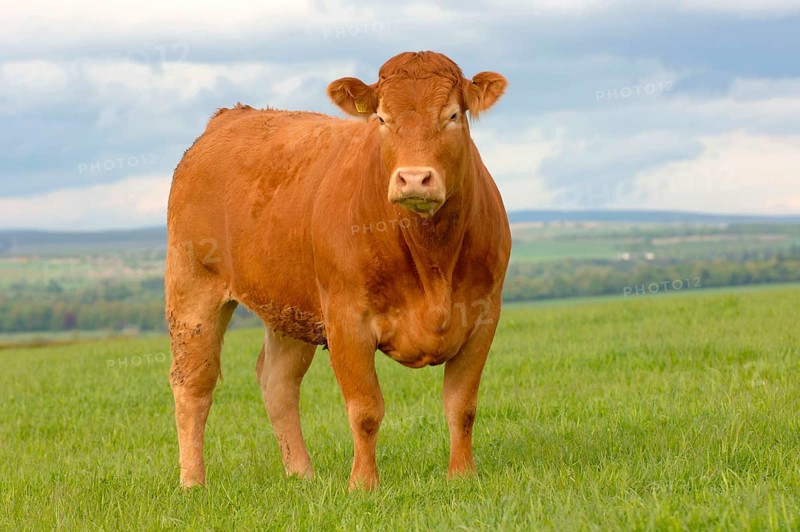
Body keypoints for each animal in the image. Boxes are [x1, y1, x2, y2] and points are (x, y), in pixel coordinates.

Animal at [166, 50, 511, 490]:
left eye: (452, 115)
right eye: (381, 118)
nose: (414, 178)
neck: (431, 257)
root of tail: (229, 117)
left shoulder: (483, 316)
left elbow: (461, 406)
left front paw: (462, 477)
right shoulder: (347, 319)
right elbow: (365, 410)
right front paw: (363, 485)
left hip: (289, 307)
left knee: (277, 382)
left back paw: (302, 474)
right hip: (192, 290)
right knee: (193, 385)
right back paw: (193, 482)